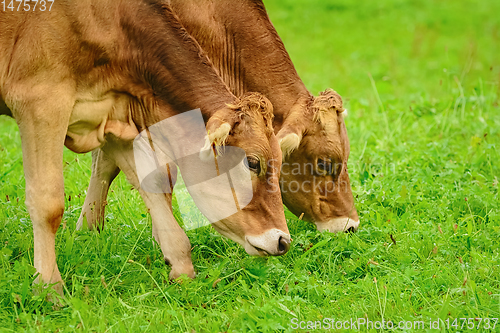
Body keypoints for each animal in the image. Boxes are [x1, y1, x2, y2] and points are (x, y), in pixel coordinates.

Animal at [0, 0, 290, 292]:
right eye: (252, 162)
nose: (283, 241)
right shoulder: (40, 102)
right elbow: (48, 203)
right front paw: (48, 287)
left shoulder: (112, 114)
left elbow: (152, 184)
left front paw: (180, 264)